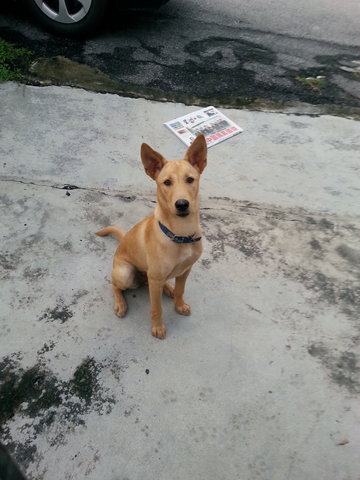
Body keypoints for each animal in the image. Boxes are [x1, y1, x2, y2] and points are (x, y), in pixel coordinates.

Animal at [96, 133, 208, 340]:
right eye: (167, 182)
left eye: (190, 179)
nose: (182, 204)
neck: (180, 234)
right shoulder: (155, 280)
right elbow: (156, 308)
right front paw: (157, 327)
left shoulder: (186, 269)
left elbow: (181, 290)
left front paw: (179, 304)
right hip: (126, 273)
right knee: (114, 285)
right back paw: (120, 304)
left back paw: (169, 289)